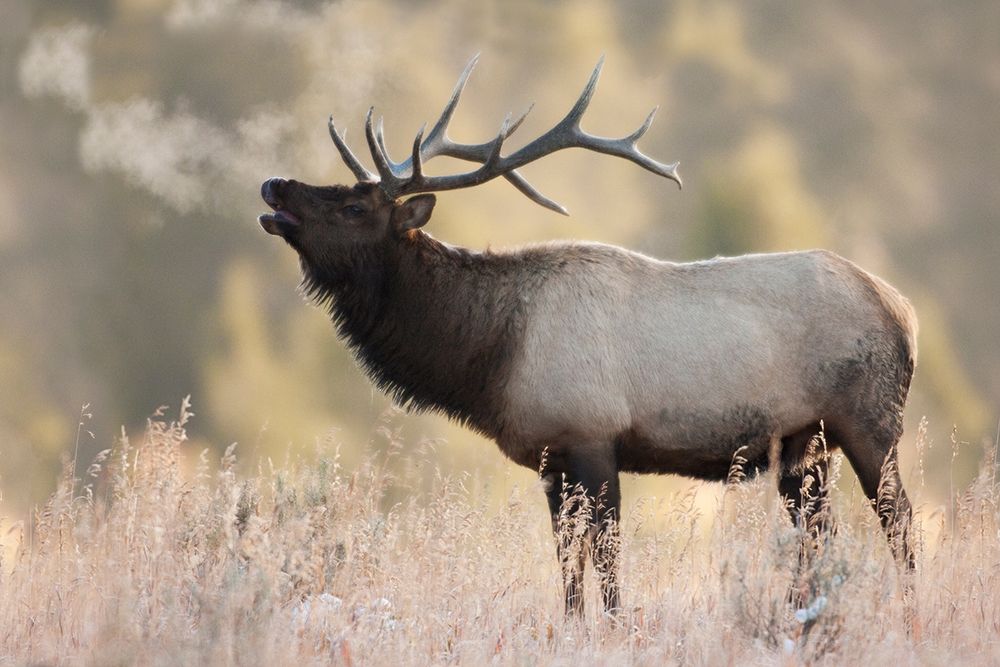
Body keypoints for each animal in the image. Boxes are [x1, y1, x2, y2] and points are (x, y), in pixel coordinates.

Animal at [257, 56, 917, 619]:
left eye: (354, 206)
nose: (274, 185)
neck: (491, 355)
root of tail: (905, 313)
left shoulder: (593, 438)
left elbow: (605, 562)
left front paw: (619, 628)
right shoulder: (553, 460)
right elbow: (569, 569)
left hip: (869, 423)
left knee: (900, 525)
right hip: (805, 447)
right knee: (819, 539)